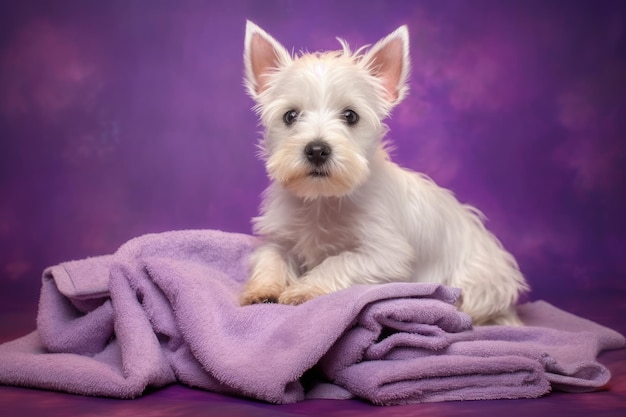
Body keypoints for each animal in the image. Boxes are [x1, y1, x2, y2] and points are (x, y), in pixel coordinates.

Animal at [239, 20, 528, 324]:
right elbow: (271, 257)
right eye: (290, 116)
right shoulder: (280, 239)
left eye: (351, 116)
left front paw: (304, 289)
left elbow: (336, 261)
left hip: (480, 283)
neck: (323, 199)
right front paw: (263, 289)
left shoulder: (386, 255)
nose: (317, 150)